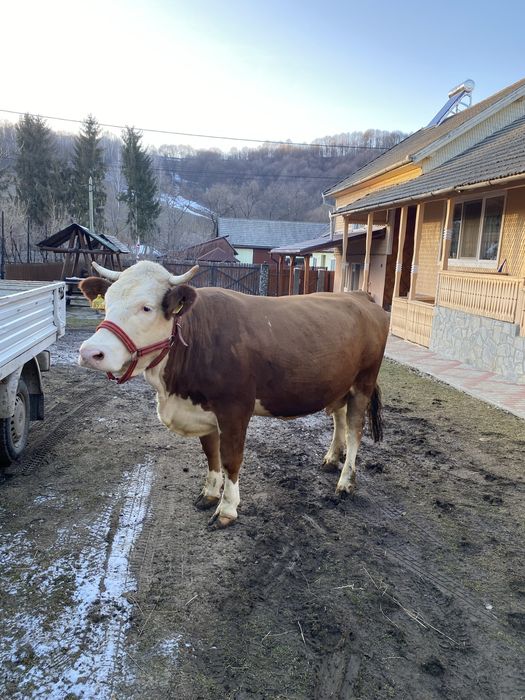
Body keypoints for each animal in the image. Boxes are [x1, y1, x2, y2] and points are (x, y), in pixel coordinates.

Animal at [78, 260, 390, 529]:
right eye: (107, 302)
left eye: (146, 307)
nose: (90, 353)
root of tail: (360, 296)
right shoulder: (202, 409)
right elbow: (211, 454)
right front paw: (209, 494)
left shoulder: (235, 410)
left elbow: (231, 459)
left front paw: (227, 509)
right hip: (339, 383)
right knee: (339, 418)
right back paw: (331, 458)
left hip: (363, 382)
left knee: (354, 429)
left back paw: (345, 481)